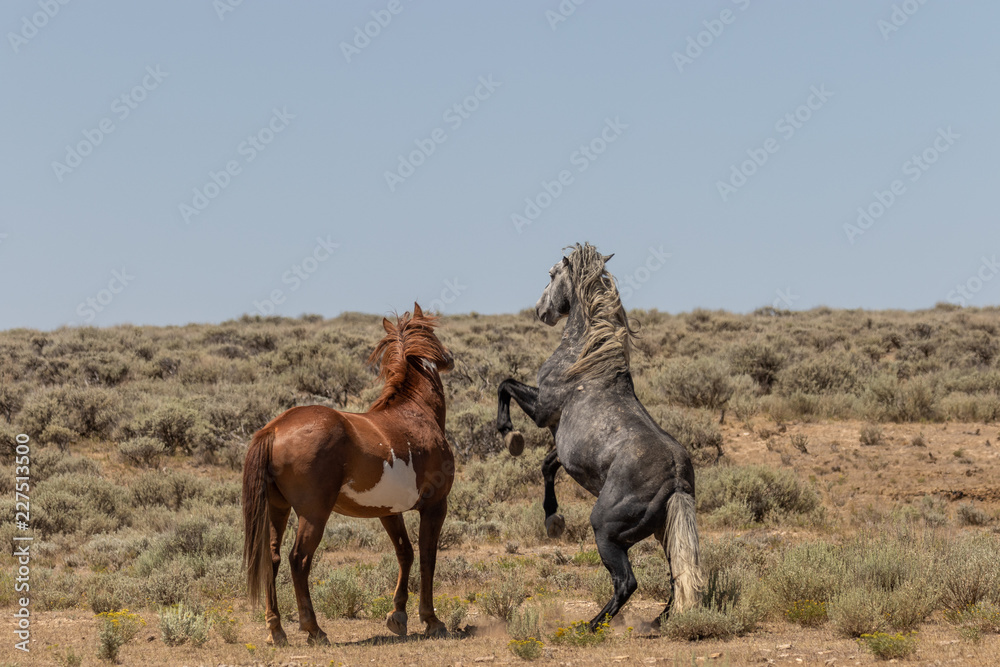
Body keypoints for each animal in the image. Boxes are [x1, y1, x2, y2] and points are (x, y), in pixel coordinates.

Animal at [244, 306, 456, 644]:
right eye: (432, 332)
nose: (450, 358)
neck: (416, 413)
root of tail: (274, 428)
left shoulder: (388, 512)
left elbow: (405, 553)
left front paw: (397, 616)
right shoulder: (436, 505)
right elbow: (427, 557)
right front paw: (431, 620)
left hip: (277, 509)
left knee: (272, 559)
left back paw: (276, 630)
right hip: (314, 514)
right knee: (298, 560)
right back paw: (314, 629)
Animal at [494, 243, 700, 628]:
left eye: (551, 274)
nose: (541, 310)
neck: (588, 358)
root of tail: (677, 478)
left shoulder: (543, 410)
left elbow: (505, 384)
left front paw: (510, 436)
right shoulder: (564, 444)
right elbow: (547, 466)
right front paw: (553, 520)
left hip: (606, 531)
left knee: (627, 582)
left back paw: (591, 625)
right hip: (665, 532)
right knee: (678, 576)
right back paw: (659, 622)